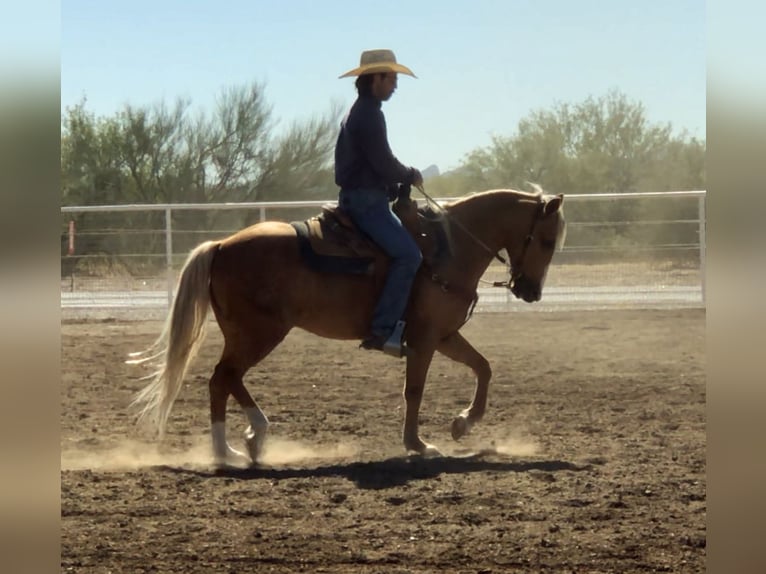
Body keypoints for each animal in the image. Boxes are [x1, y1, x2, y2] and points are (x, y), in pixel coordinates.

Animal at [129, 188, 568, 468]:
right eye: (547, 240)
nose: (530, 292)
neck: (447, 249)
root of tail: (221, 245)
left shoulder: (444, 336)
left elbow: (483, 367)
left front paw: (463, 424)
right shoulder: (424, 339)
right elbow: (414, 390)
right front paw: (418, 445)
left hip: (249, 334)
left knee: (223, 380)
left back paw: (237, 447)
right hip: (259, 332)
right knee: (224, 377)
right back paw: (244, 441)